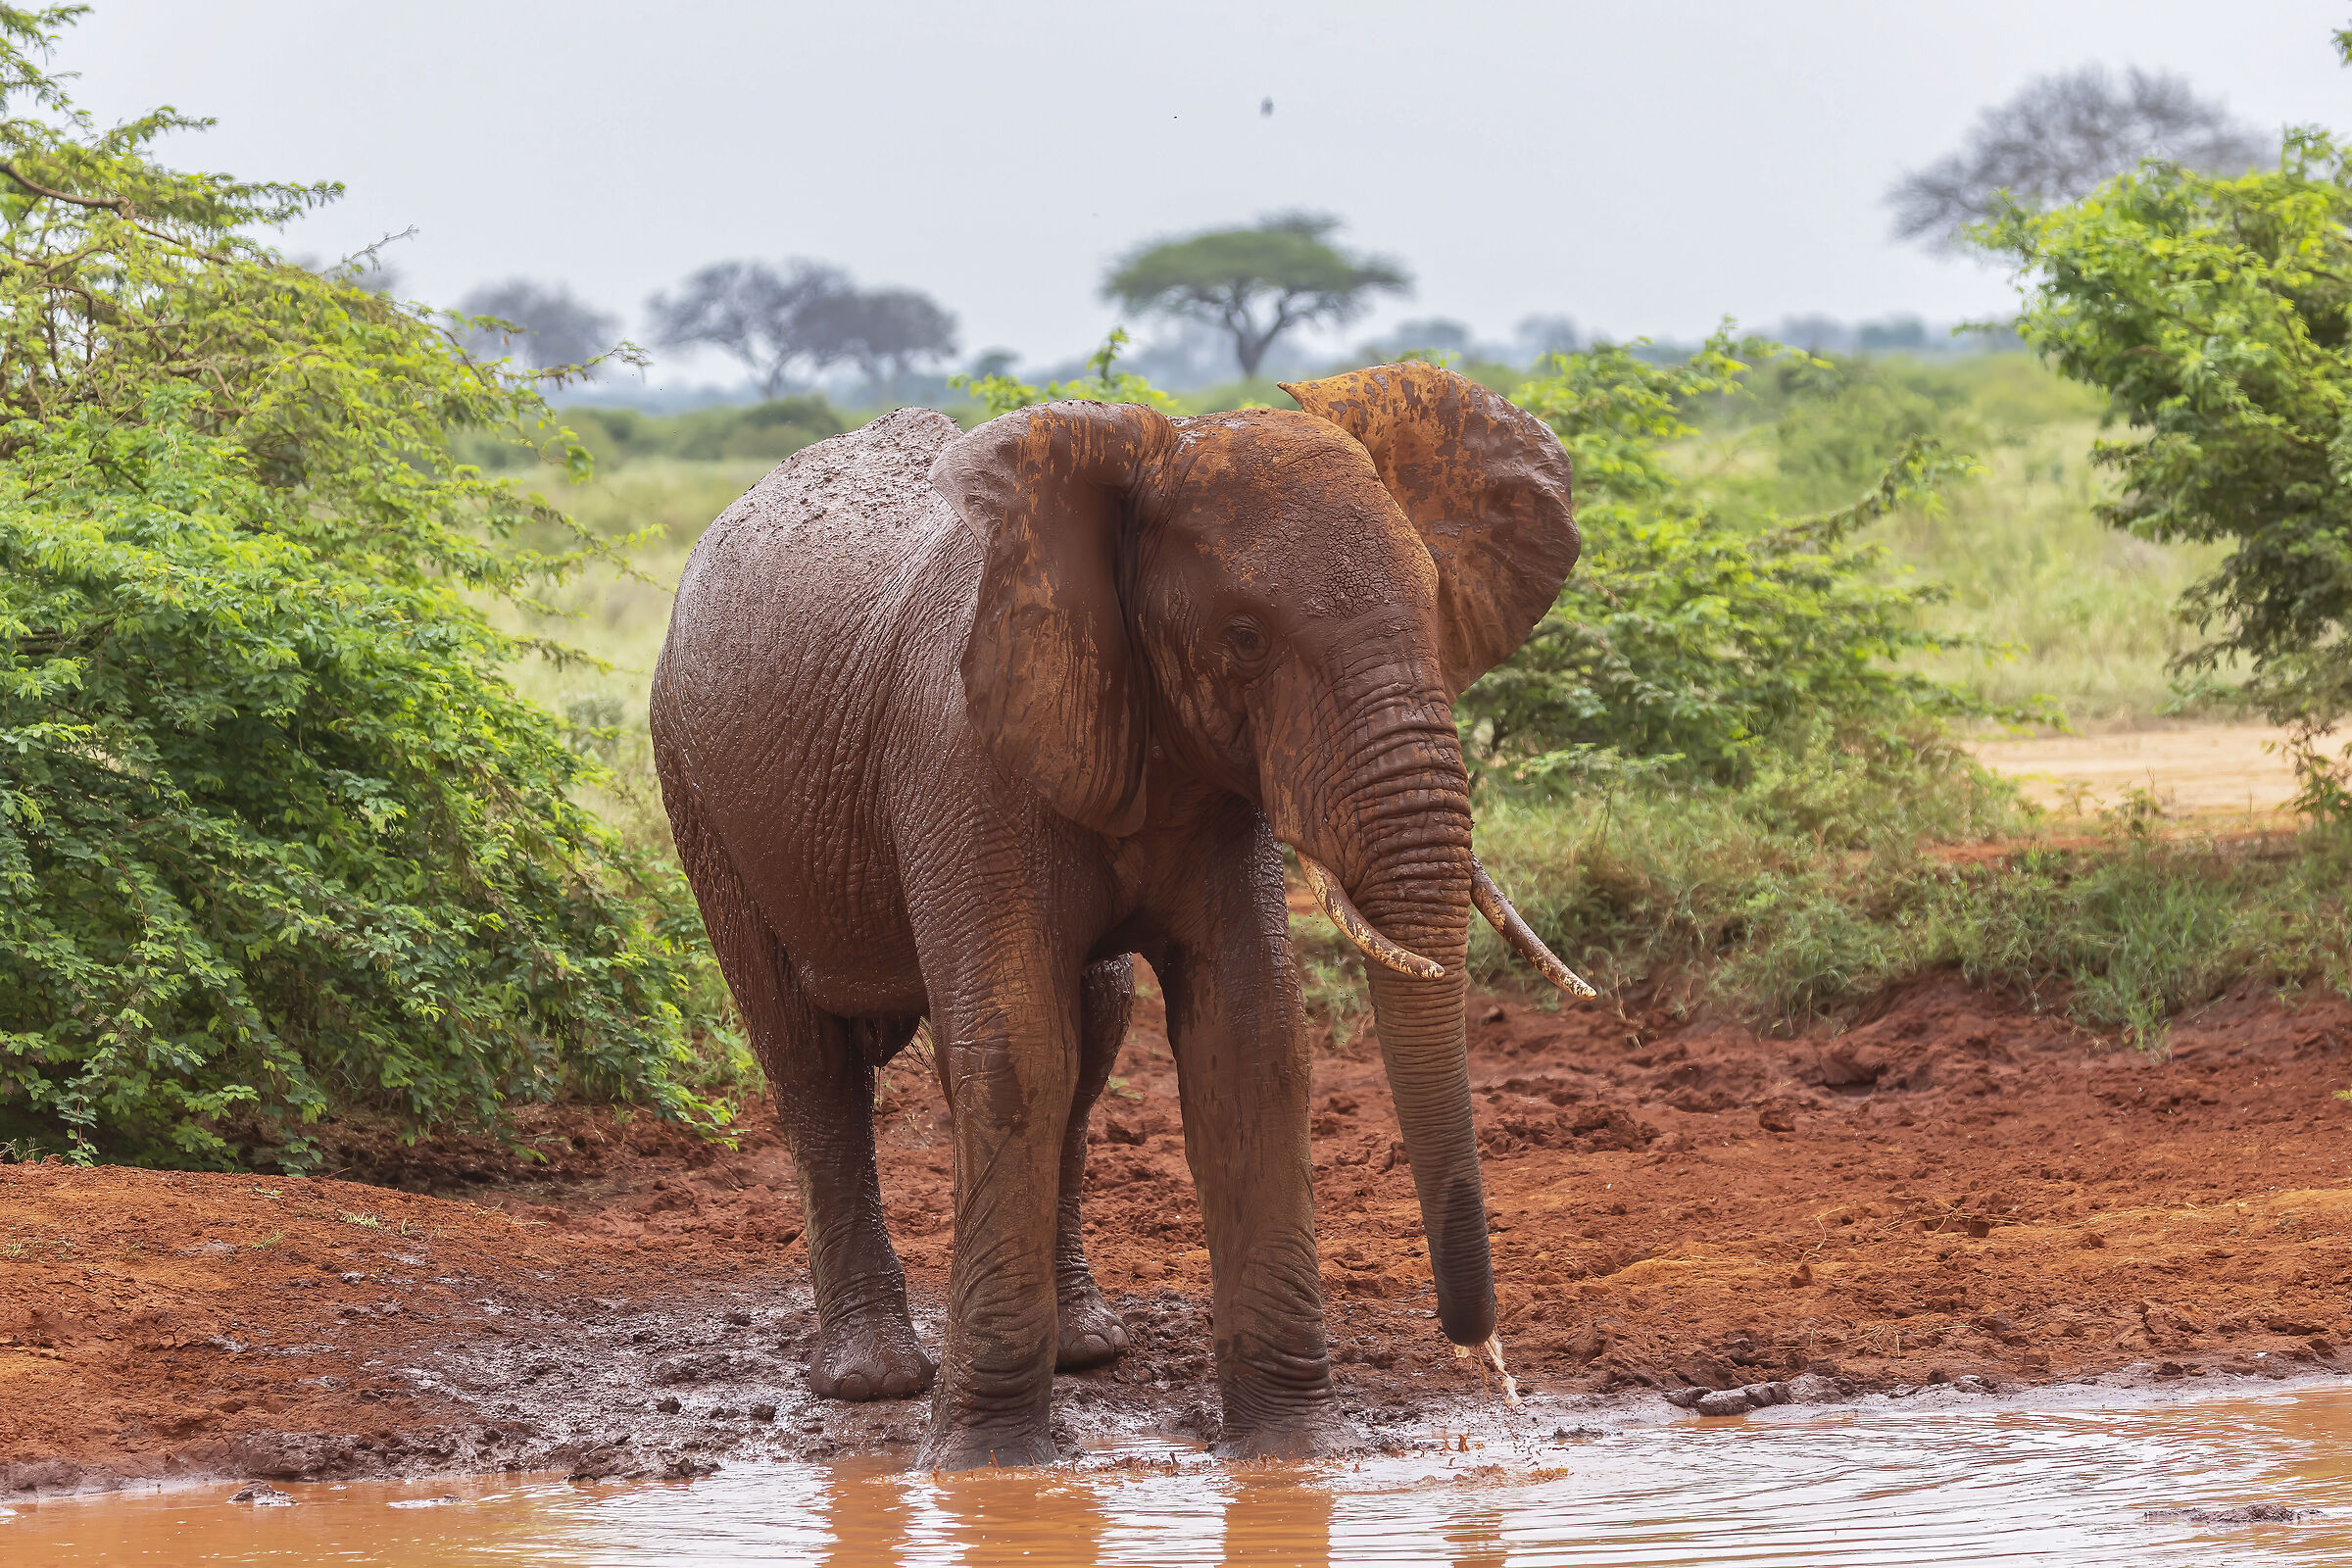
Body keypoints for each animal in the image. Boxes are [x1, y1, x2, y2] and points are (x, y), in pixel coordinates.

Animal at [649, 362, 1586, 1470]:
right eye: (1243, 638)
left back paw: (1086, 1349)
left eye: (1440, 614)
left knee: (1090, 1037)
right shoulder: (960, 750)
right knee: (811, 1060)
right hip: (697, 788)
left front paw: (1293, 1457)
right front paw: (984, 1473)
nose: (1486, 1359)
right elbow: (1012, 1049)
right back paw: (872, 1379)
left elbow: (1249, 1041)